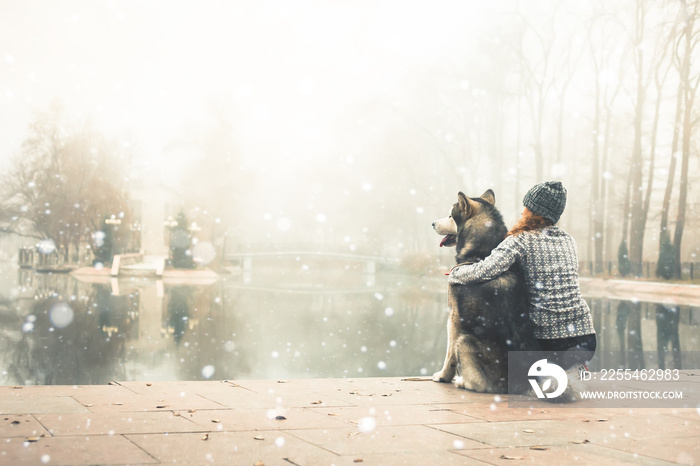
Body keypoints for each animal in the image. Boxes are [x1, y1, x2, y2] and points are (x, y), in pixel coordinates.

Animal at [430, 189, 540, 394]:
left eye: (450, 215)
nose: (432, 223)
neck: (482, 254)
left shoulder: (454, 317)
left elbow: (449, 355)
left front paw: (442, 376)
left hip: (465, 340)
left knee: (481, 384)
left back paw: (461, 381)